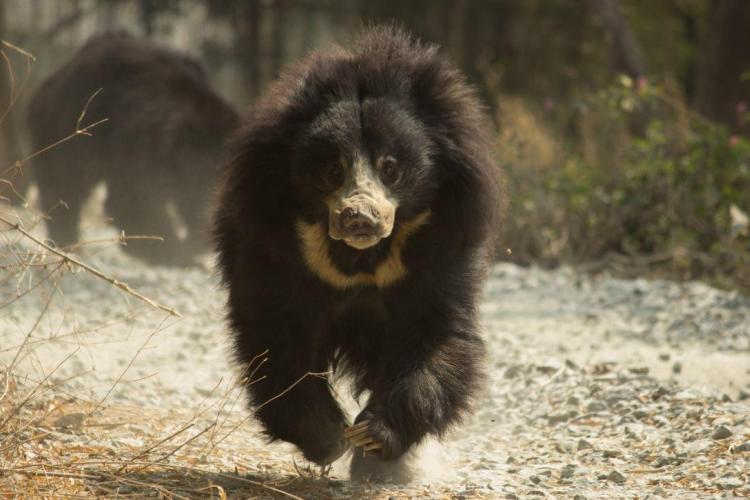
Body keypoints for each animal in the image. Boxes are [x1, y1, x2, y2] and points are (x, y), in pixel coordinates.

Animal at [27, 31, 238, 265]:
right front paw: (173, 250)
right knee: (65, 183)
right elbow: (136, 198)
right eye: (205, 178)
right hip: (67, 125)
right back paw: (67, 242)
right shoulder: (135, 143)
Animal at [212, 26, 502, 482]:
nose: (360, 218)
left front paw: (373, 437)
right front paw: (328, 436)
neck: (361, 258)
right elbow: (279, 337)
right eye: (332, 171)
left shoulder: (439, 251)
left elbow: (434, 335)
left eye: (390, 167)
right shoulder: (275, 250)